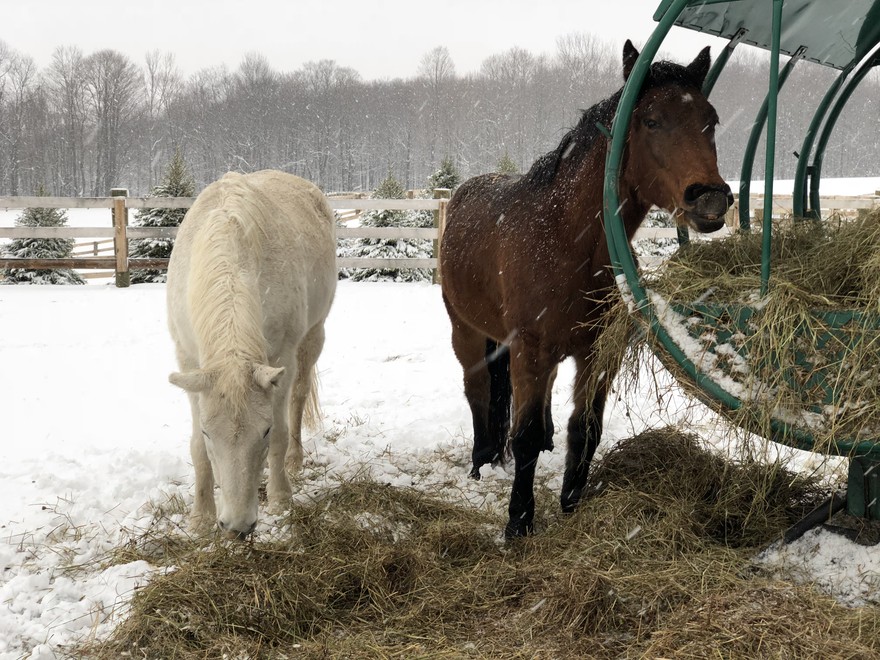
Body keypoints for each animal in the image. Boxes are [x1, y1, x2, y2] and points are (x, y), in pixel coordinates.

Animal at [166, 169, 336, 536]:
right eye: (208, 432)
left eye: (265, 431)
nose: (237, 526)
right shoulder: (188, 361)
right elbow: (197, 449)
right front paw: (200, 516)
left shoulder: (282, 359)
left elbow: (283, 432)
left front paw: (281, 498)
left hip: (313, 336)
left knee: (299, 397)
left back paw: (294, 461)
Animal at [440, 40, 736, 536]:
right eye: (650, 120)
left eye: (710, 120)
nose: (711, 199)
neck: (565, 238)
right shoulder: (528, 349)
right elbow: (520, 435)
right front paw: (518, 522)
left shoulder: (598, 352)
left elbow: (586, 428)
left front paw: (571, 503)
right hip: (467, 332)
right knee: (477, 390)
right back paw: (481, 462)